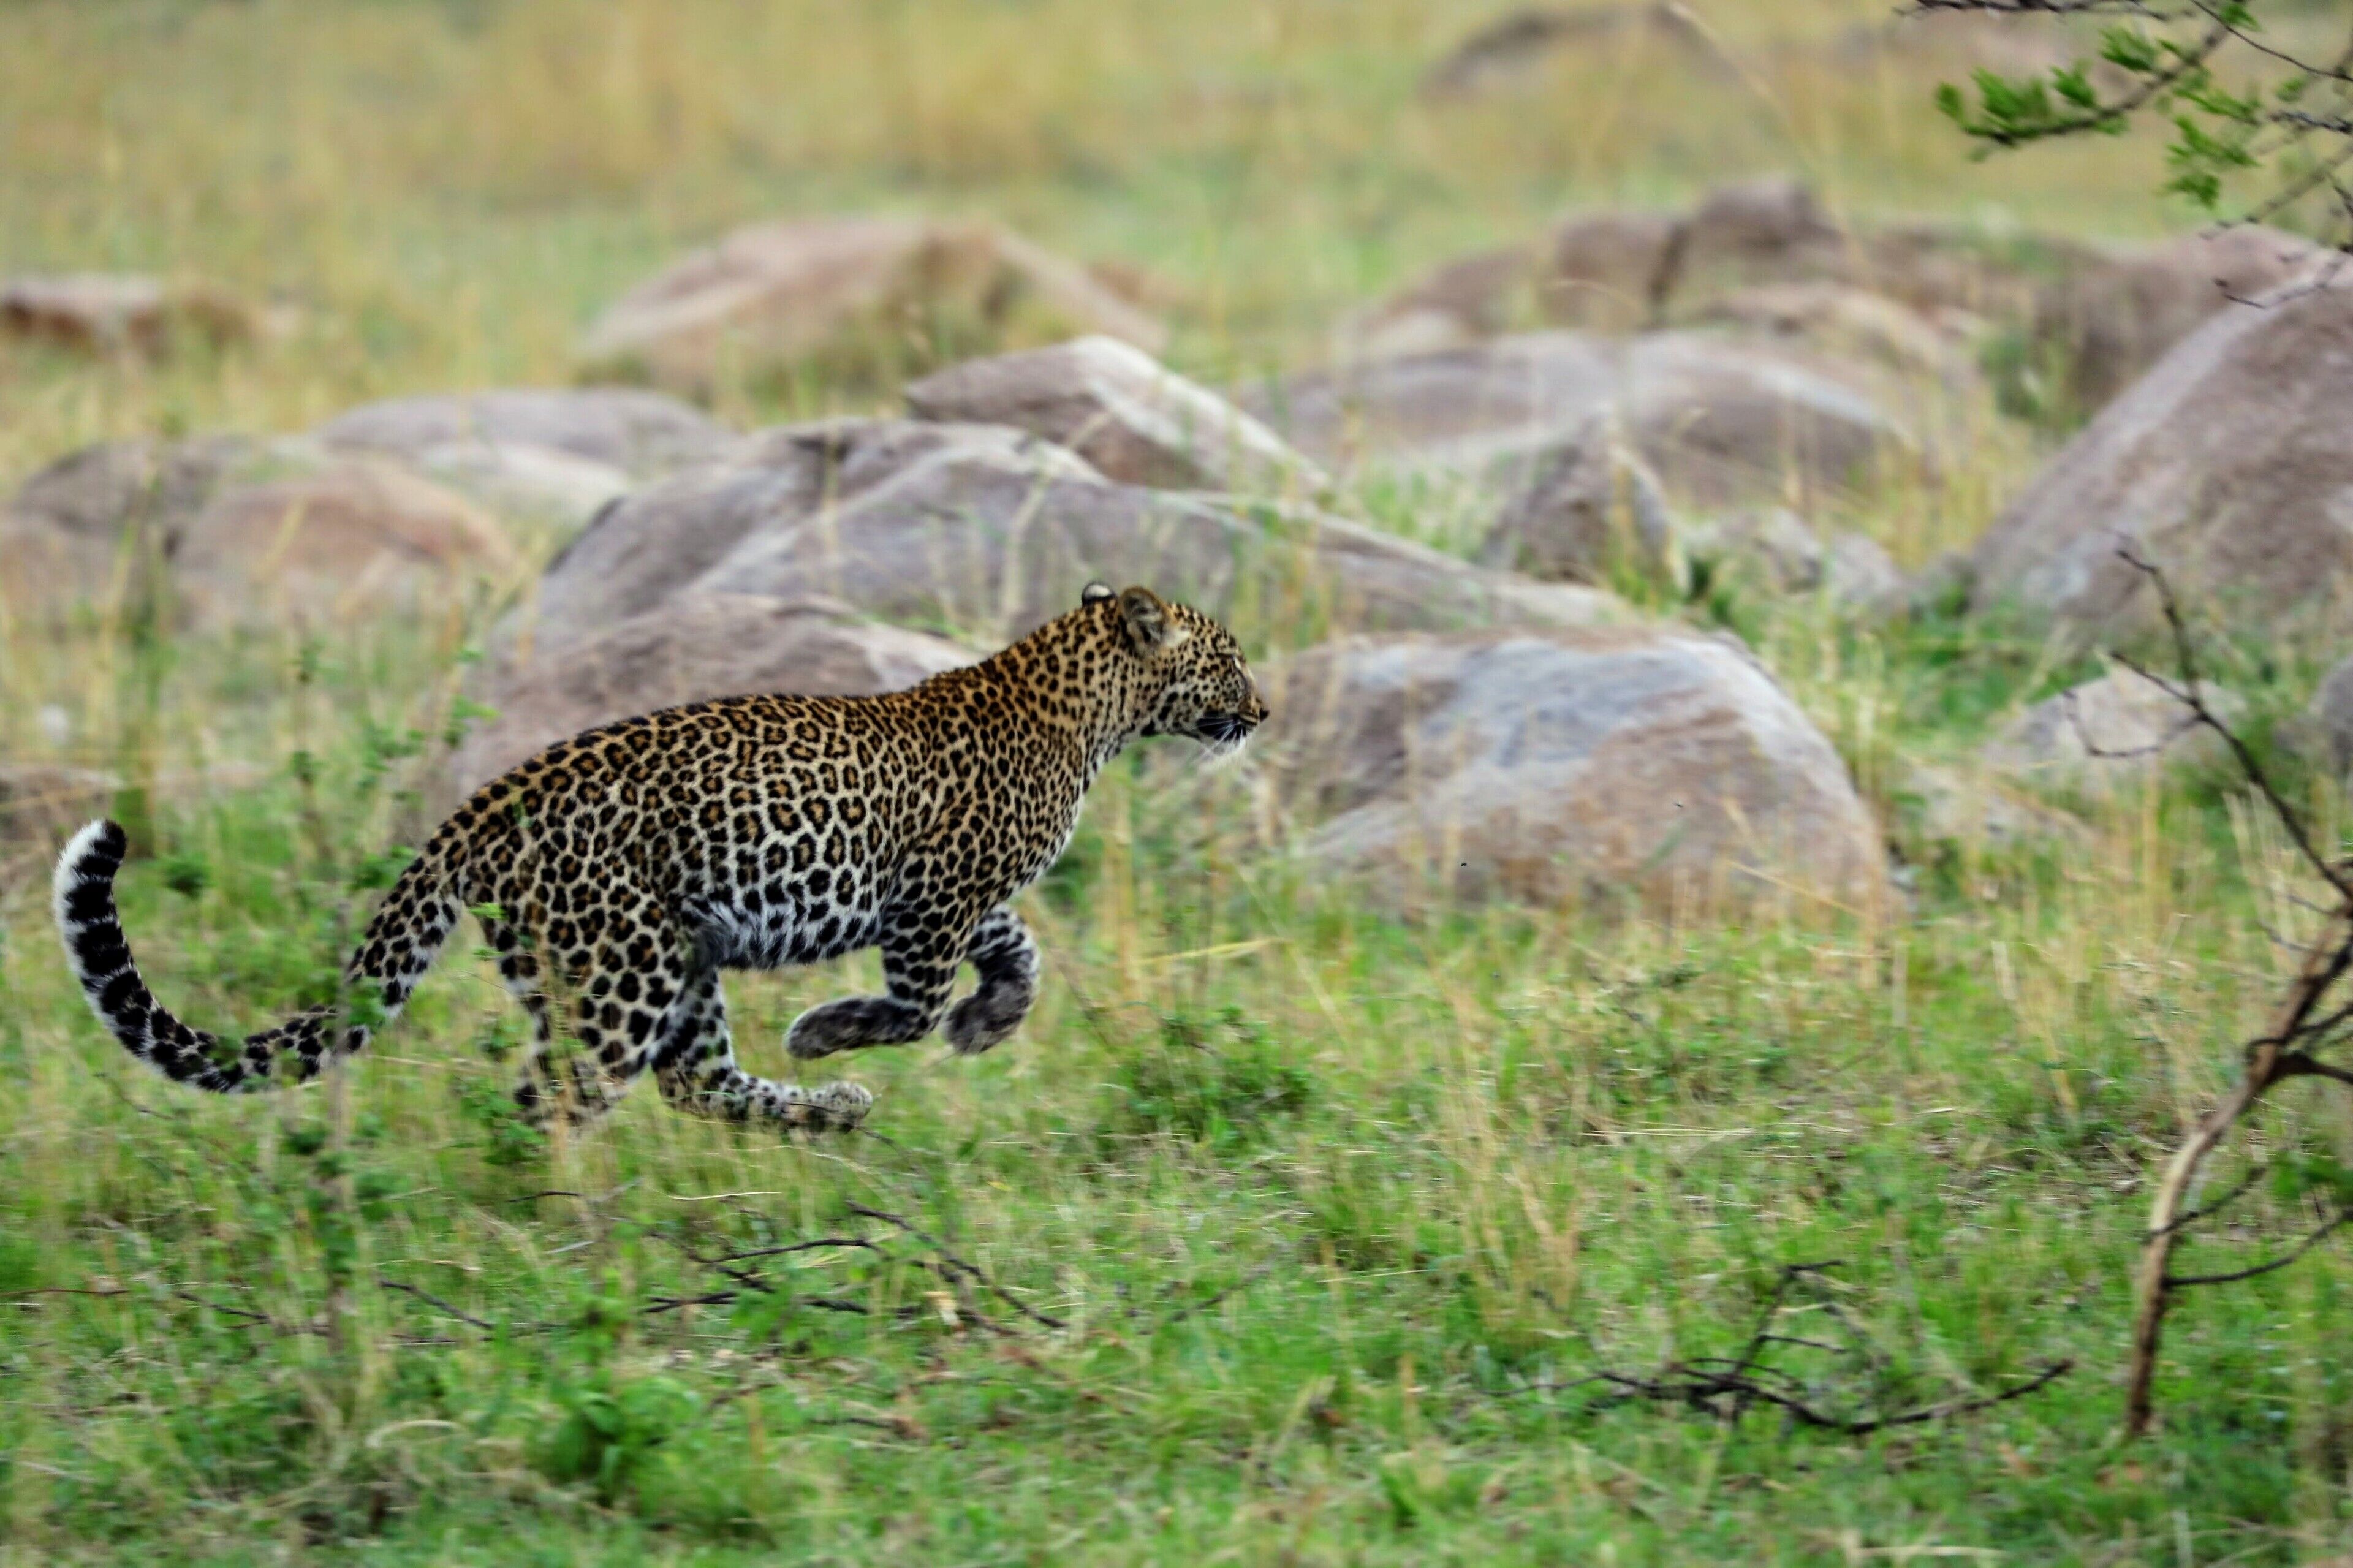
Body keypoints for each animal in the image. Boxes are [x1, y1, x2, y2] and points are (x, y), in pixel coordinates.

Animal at [53, 583, 1268, 1134]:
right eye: (1229, 657)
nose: (1264, 709)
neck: (1087, 708)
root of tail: (480, 804)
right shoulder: (931, 898)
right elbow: (915, 997)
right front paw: (837, 1025)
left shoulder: (959, 896)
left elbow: (1017, 951)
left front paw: (989, 1019)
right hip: (622, 965)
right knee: (558, 1095)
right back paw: (566, 1230)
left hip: (660, 958)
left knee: (693, 1078)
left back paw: (827, 1111)